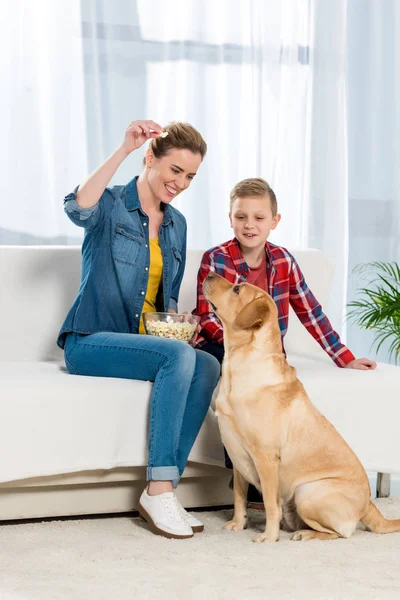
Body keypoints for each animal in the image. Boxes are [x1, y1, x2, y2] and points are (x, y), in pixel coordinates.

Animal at [203, 272, 400, 544]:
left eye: (237, 289)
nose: (210, 273)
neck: (238, 367)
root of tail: (369, 504)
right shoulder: (236, 456)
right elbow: (239, 497)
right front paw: (238, 524)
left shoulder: (266, 458)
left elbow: (269, 503)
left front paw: (268, 537)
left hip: (308, 491)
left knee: (340, 533)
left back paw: (305, 534)